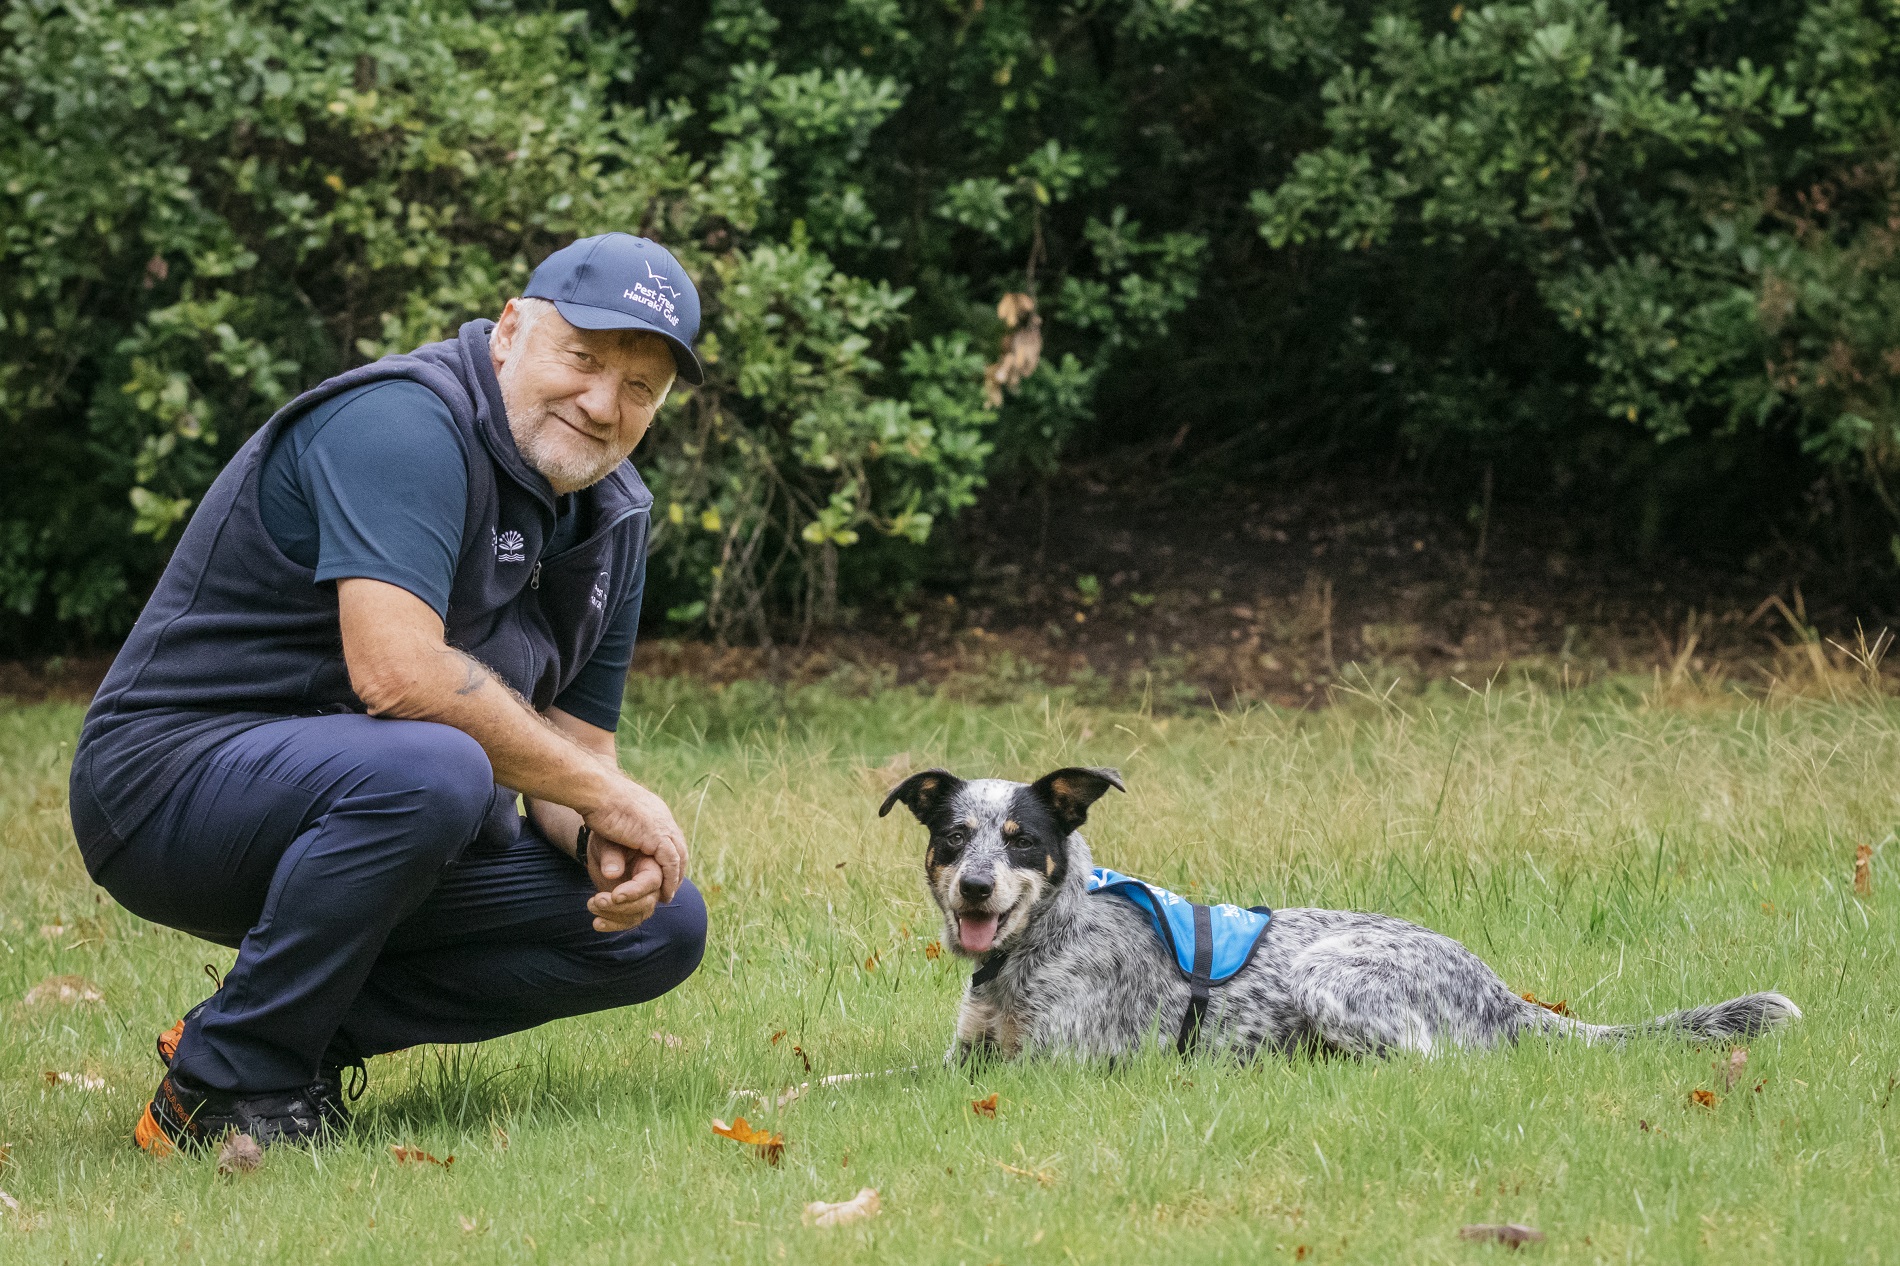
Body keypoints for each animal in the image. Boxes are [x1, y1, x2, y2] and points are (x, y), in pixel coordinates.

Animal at [881, 764, 1801, 1056]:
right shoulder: (968, 1057)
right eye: (955, 835)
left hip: (1329, 975)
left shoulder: (1054, 1066)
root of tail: (1505, 995)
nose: (974, 887)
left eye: (1021, 839)